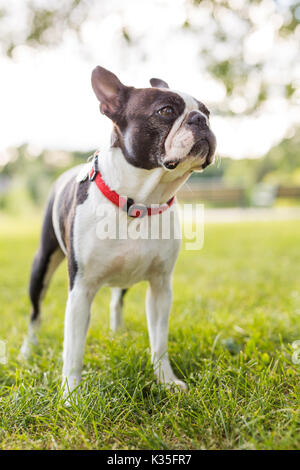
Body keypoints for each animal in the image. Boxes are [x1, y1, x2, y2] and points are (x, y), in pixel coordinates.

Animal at [19, 66, 216, 394]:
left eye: (208, 112)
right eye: (166, 111)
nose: (200, 120)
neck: (139, 202)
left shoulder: (161, 288)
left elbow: (159, 342)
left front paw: (166, 381)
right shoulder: (80, 291)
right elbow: (73, 350)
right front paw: (71, 396)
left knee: (116, 299)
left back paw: (117, 333)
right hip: (41, 265)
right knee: (35, 313)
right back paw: (27, 350)